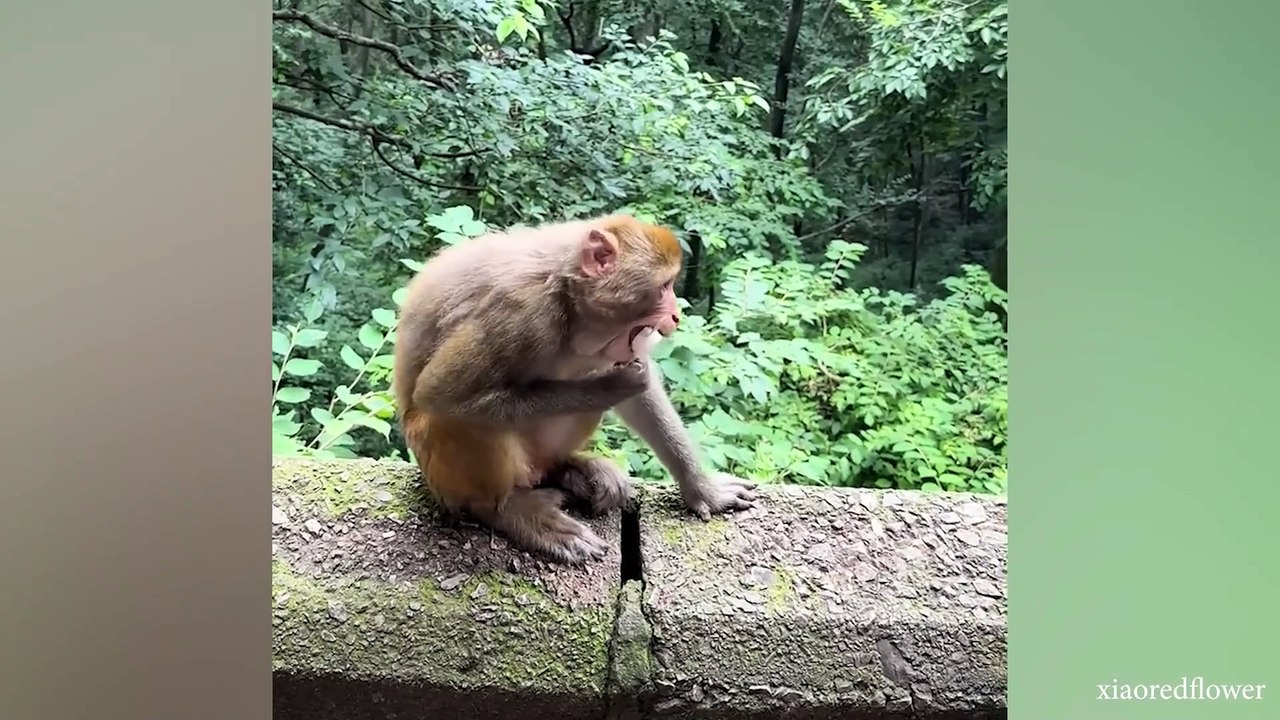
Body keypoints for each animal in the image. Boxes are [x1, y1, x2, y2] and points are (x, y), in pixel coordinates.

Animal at [392, 213, 757, 564]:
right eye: (664, 287)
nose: (676, 316)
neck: (567, 295)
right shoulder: (517, 314)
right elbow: (441, 393)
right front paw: (608, 387)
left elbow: (643, 393)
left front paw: (703, 490)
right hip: (443, 472)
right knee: (452, 420)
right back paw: (508, 510)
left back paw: (569, 470)